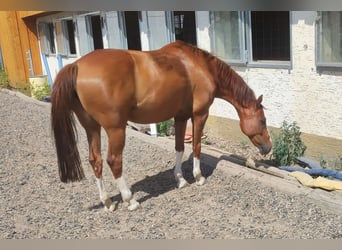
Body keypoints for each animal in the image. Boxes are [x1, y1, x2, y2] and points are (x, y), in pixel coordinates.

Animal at [50, 41, 272, 211]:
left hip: (92, 128)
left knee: (95, 161)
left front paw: (180, 180)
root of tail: (76, 65)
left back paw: (108, 202)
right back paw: (130, 200)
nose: (268, 147)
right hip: (115, 129)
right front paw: (198, 177)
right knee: (114, 161)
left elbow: (180, 147)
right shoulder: (199, 114)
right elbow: (197, 146)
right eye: (263, 120)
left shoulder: (180, 117)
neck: (198, 67)